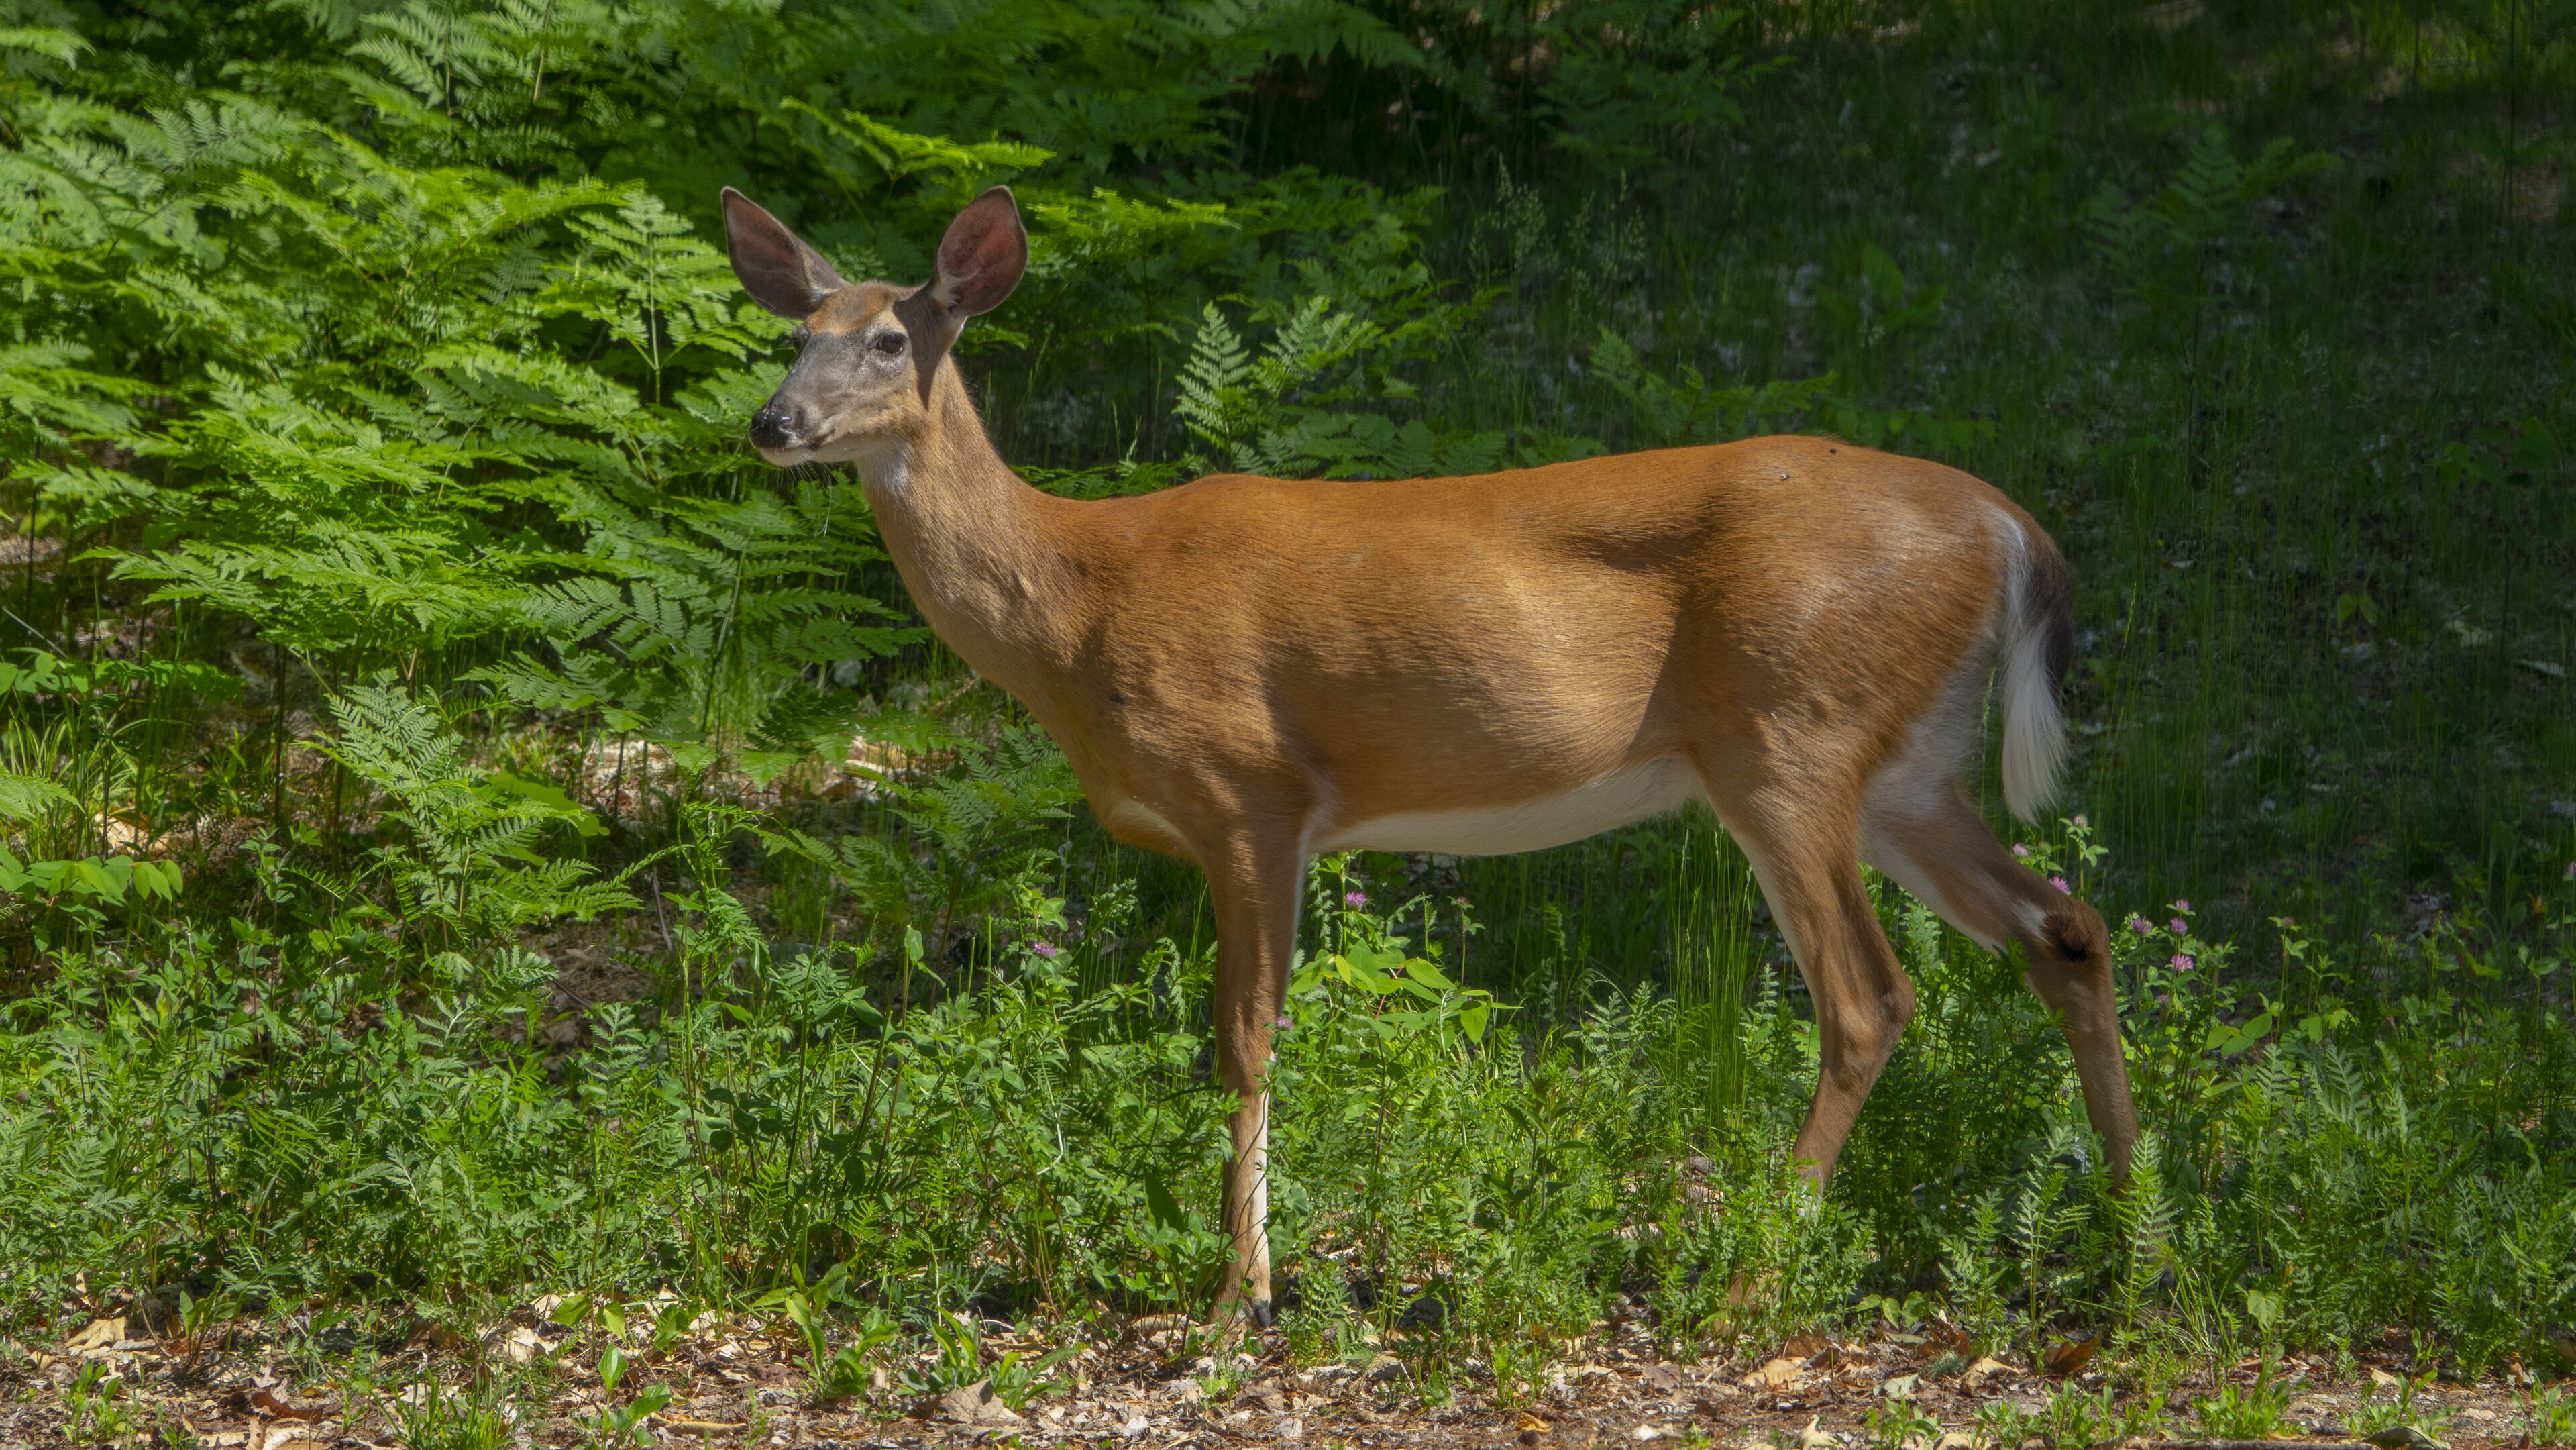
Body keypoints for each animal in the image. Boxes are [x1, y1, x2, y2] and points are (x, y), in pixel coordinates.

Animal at [721, 182, 2140, 1327]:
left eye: (889, 338)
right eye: (795, 336)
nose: (773, 423)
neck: (1077, 607)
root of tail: (2009, 530)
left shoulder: (1250, 789)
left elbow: (1245, 1040)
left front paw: (1239, 1300)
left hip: (1786, 738)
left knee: (1869, 997)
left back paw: (1757, 1276)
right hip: (1906, 768)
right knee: (2067, 926)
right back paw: (2138, 1241)